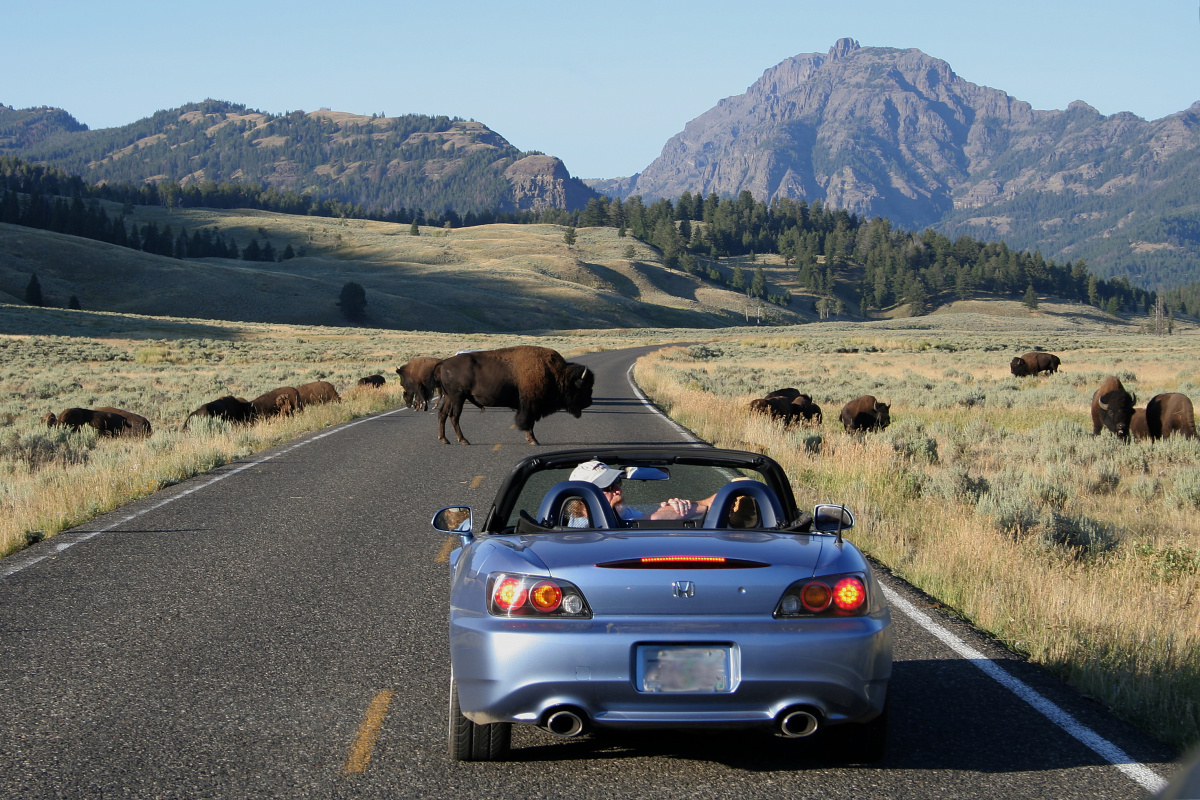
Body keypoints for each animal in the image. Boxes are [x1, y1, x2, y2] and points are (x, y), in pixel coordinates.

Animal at [436, 345, 595, 443]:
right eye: (583, 386)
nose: (589, 402)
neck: (556, 373)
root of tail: (444, 363)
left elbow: (529, 422)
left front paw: (531, 439)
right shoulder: (529, 405)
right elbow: (527, 422)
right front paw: (533, 440)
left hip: (449, 398)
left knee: (442, 414)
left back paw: (444, 439)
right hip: (458, 398)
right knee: (454, 416)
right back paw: (463, 440)